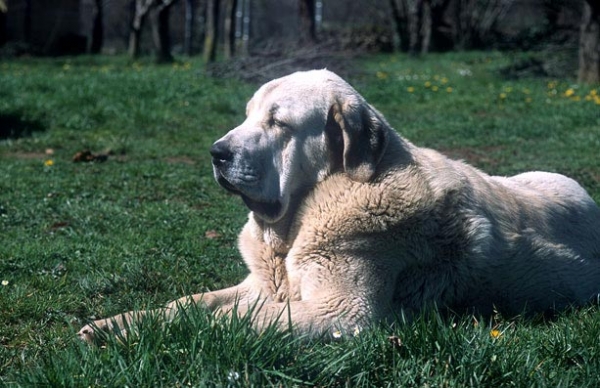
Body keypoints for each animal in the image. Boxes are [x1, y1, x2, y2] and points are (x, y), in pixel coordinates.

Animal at [79, 70, 600, 342]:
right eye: (248, 116)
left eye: (278, 123)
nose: (217, 152)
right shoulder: (260, 285)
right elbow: (186, 303)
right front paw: (115, 324)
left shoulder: (341, 311)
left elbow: (227, 319)